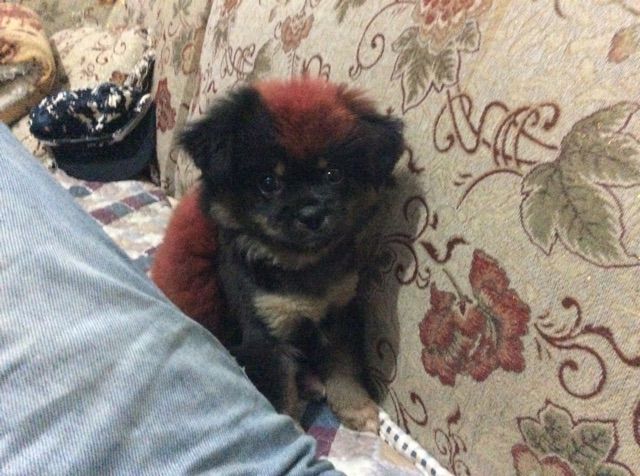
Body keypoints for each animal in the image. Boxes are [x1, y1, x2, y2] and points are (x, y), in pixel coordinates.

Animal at [153, 77, 404, 432]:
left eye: (333, 175)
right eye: (269, 182)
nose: (311, 214)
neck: (301, 266)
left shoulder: (340, 311)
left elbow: (344, 367)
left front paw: (356, 408)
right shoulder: (266, 335)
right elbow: (283, 396)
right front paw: (294, 430)